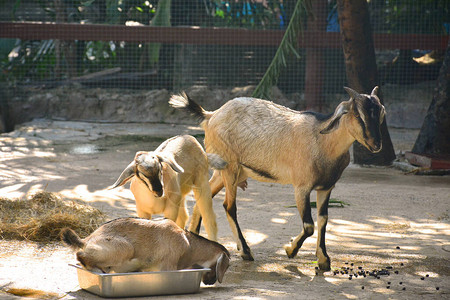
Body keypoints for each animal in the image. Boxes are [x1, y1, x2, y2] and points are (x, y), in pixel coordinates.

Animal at [60, 217, 229, 284]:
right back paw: (97, 270)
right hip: (126, 248)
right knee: (80, 255)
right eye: (226, 267)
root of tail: (87, 240)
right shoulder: (168, 266)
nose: (210, 282)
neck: (189, 244)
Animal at [171, 86, 384, 270]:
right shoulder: (301, 187)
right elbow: (309, 225)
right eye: (358, 115)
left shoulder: (326, 187)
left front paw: (323, 259)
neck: (323, 142)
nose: (376, 144)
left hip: (227, 171)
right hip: (230, 168)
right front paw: (291, 250)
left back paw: (197, 239)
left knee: (204, 196)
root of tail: (211, 115)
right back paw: (246, 251)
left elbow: (323, 219)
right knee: (229, 206)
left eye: (381, 113)